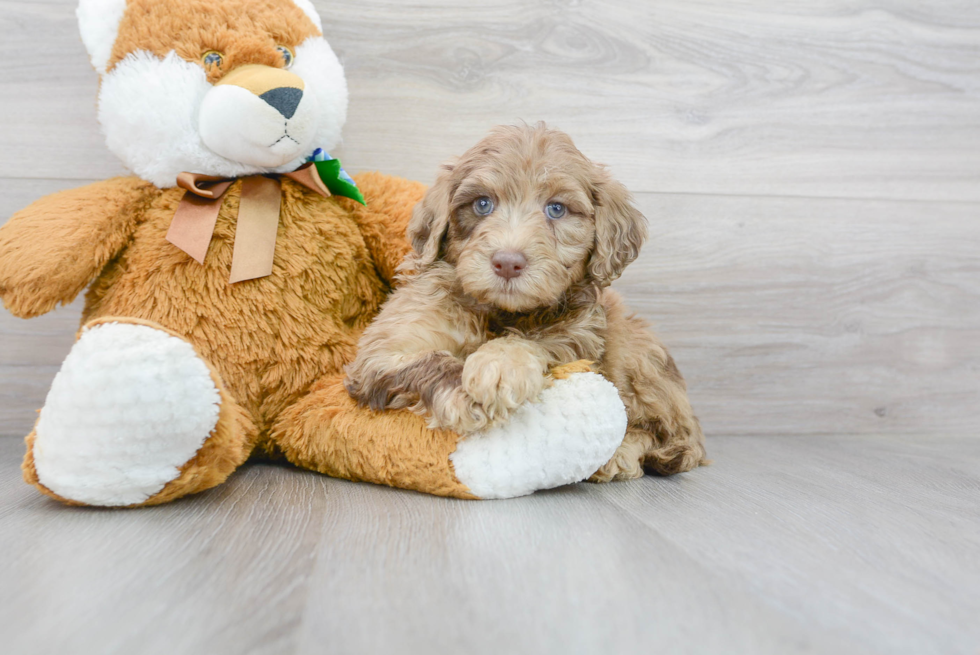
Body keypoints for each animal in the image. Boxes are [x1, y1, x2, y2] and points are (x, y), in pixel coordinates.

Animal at [348, 124, 708, 482]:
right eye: (482, 204)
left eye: (556, 209)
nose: (508, 262)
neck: (501, 312)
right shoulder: (390, 343)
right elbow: (428, 359)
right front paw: (467, 393)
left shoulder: (578, 334)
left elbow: (536, 342)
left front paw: (499, 365)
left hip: (635, 352)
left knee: (675, 435)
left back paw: (620, 455)